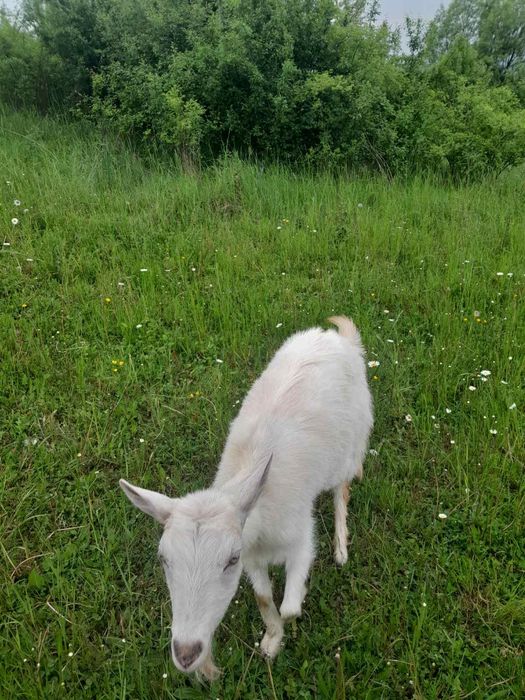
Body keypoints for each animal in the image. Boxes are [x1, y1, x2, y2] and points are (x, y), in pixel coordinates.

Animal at [120, 316, 373, 679]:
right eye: (163, 559)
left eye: (230, 560)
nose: (186, 654)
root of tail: (338, 337)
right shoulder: (253, 557)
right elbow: (264, 599)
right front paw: (270, 641)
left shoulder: (300, 539)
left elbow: (290, 607)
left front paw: (288, 615)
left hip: (350, 442)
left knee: (343, 489)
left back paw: (341, 548)